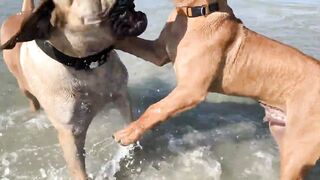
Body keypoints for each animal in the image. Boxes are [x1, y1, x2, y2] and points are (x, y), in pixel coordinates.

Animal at [0, 0, 147, 179]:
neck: (86, 62)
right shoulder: (70, 132)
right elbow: (79, 171)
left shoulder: (121, 96)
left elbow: (130, 123)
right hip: (26, 91)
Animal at [114, 0, 320, 180]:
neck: (194, 13)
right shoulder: (157, 53)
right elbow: (130, 42)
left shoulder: (191, 89)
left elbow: (156, 108)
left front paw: (128, 133)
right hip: (283, 136)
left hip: (297, 153)